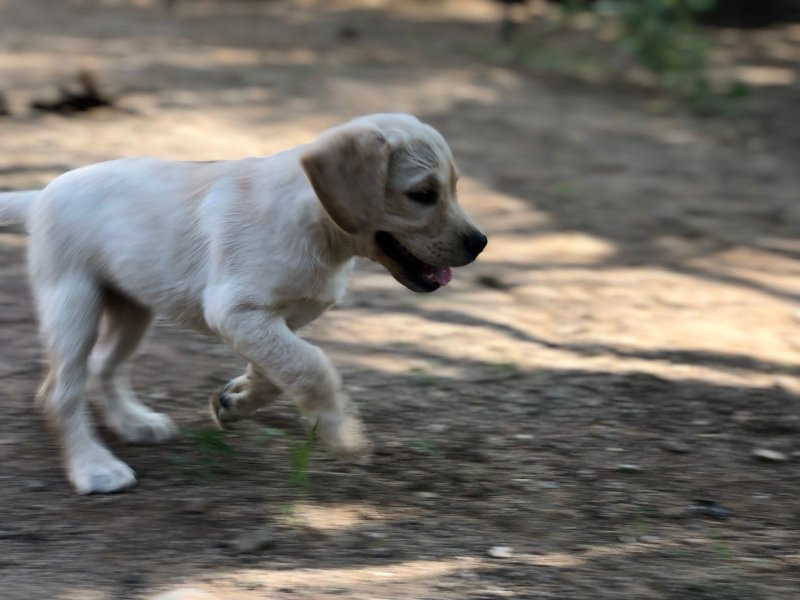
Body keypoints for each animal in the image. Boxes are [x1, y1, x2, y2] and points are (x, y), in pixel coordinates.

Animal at [0, 112, 488, 492]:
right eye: (423, 194)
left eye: (454, 187)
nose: (479, 243)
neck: (317, 227)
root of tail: (39, 195)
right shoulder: (235, 310)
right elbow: (312, 366)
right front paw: (343, 433)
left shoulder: (272, 320)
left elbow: (280, 369)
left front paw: (236, 400)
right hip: (73, 301)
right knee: (59, 390)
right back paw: (94, 467)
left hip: (132, 306)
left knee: (105, 364)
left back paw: (134, 422)